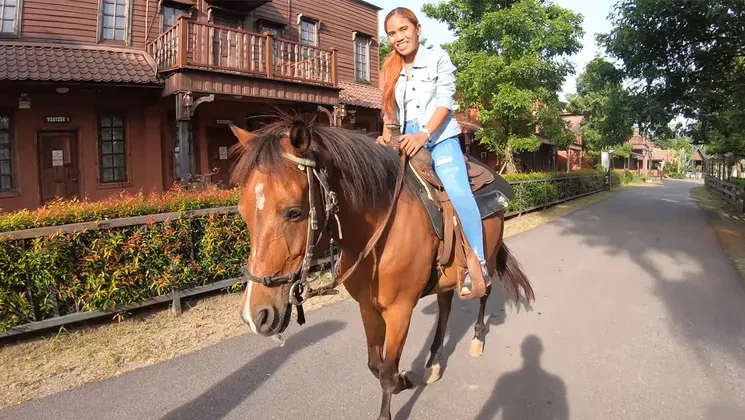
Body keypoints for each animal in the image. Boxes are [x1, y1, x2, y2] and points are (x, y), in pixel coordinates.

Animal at [227, 113, 535, 420]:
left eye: (294, 212)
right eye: (242, 211)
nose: (255, 315)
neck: (377, 232)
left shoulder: (400, 312)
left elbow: (387, 372)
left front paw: (396, 390)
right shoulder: (368, 307)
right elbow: (375, 365)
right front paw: (405, 380)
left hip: (488, 259)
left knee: (485, 293)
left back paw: (477, 339)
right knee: (445, 306)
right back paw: (434, 361)